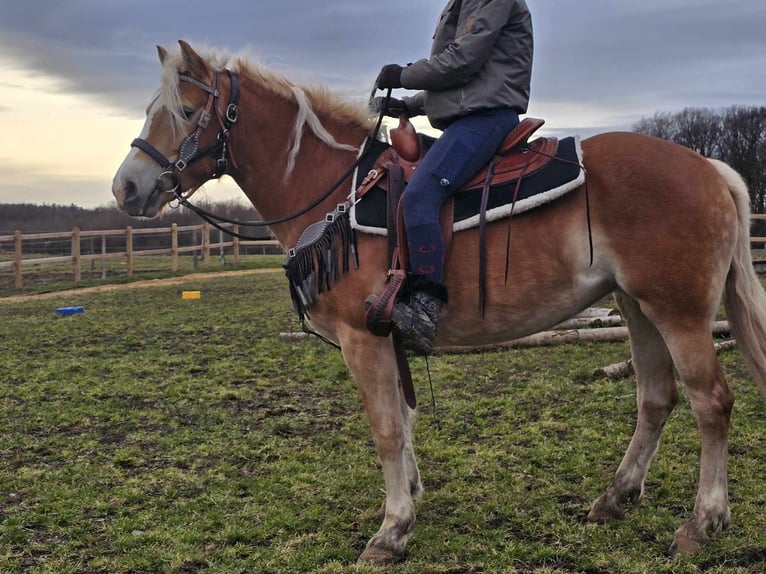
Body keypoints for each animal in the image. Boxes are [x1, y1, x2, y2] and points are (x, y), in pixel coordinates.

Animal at [112, 41, 766, 568]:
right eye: (149, 109)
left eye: (186, 111)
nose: (126, 187)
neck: (335, 190)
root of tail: (709, 167)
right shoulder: (387, 339)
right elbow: (403, 422)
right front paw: (411, 500)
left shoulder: (363, 338)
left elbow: (383, 429)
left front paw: (391, 530)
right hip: (636, 306)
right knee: (656, 397)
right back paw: (614, 498)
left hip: (679, 311)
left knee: (712, 402)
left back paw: (703, 523)